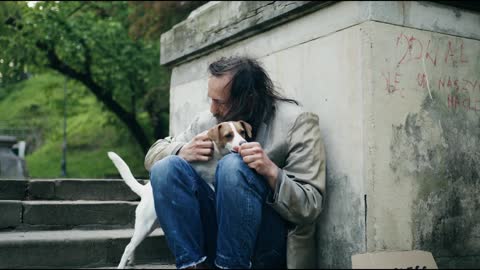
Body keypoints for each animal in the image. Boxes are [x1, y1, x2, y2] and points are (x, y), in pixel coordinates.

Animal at [108, 120, 251, 268]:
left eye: (242, 132)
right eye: (228, 135)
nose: (243, 143)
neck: (217, 154)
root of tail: (144, 190)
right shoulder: (206, 177)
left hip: (149, 227)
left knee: (132, 244)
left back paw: (131, 260)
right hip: (144, 225)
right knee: (128, 247)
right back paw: (122, 265)